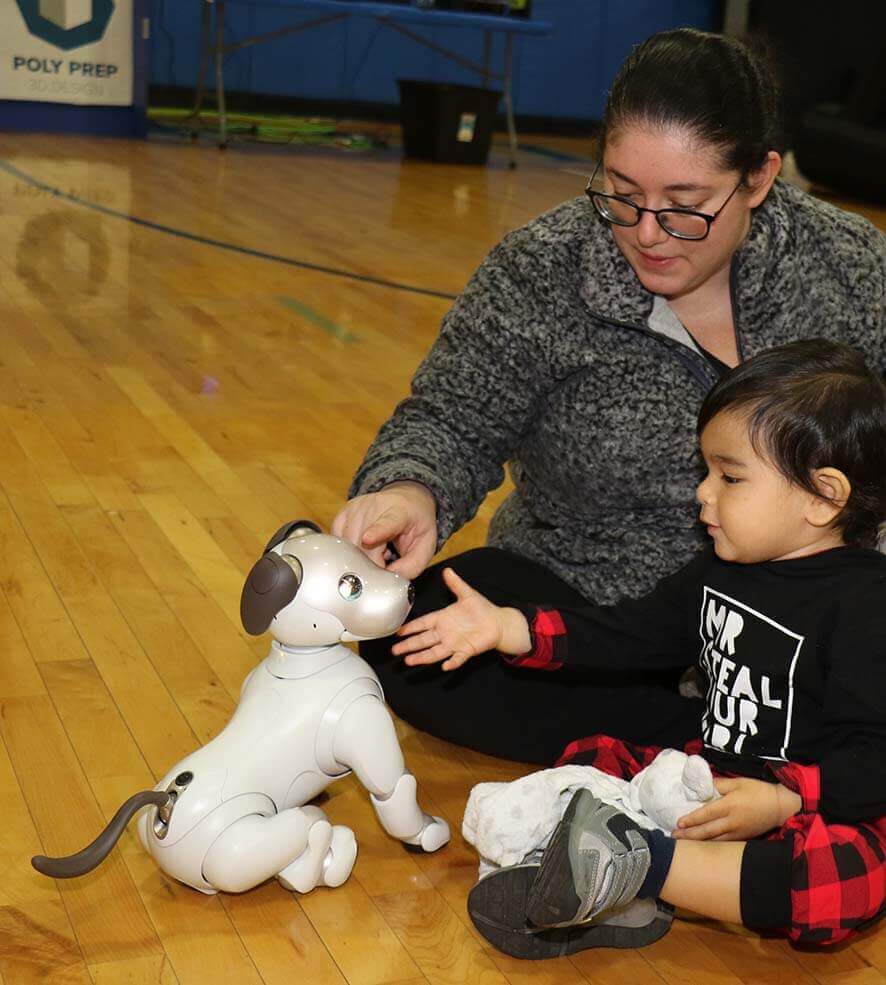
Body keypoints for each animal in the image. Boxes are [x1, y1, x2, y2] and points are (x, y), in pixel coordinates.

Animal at [33, 524, 450, 892]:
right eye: (350, 585)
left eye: (364, 557)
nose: (409, 588)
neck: (302, 665)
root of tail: (165, 805)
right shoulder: (361, 715)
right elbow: (393, 789)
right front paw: (430, 832)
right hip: (237, 841)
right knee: (297, 833)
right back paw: (324, 843)